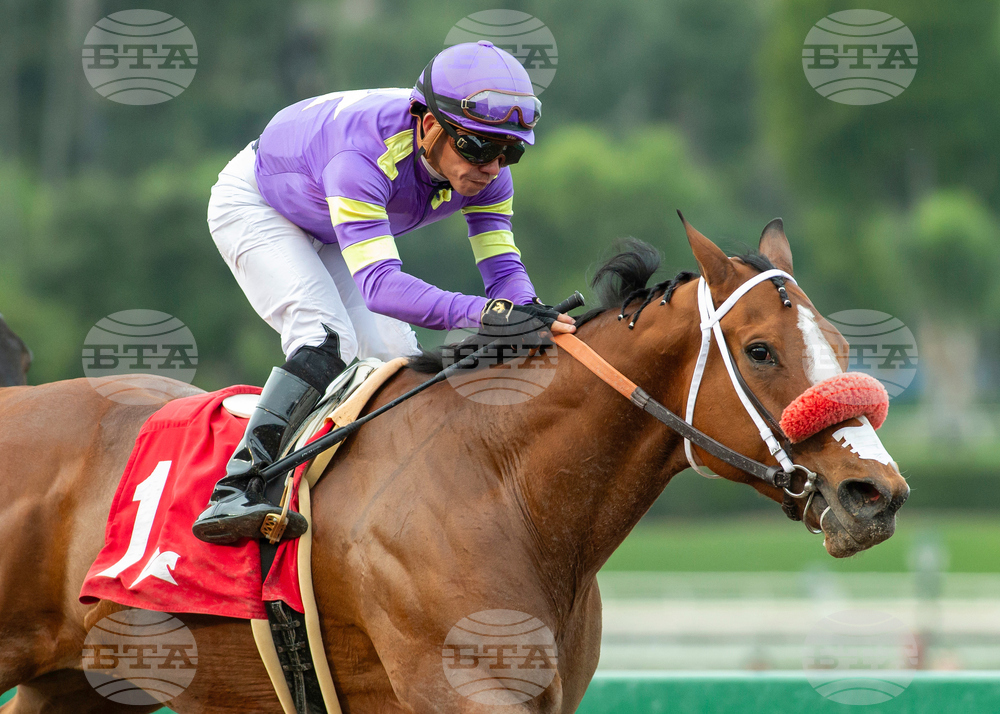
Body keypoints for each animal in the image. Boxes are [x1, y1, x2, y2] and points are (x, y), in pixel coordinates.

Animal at [0, 219, 909, 713]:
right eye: (759, 350)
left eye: (842, 343)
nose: (878, 494)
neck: (503, 483)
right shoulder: (460, 694)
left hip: (80, 682)